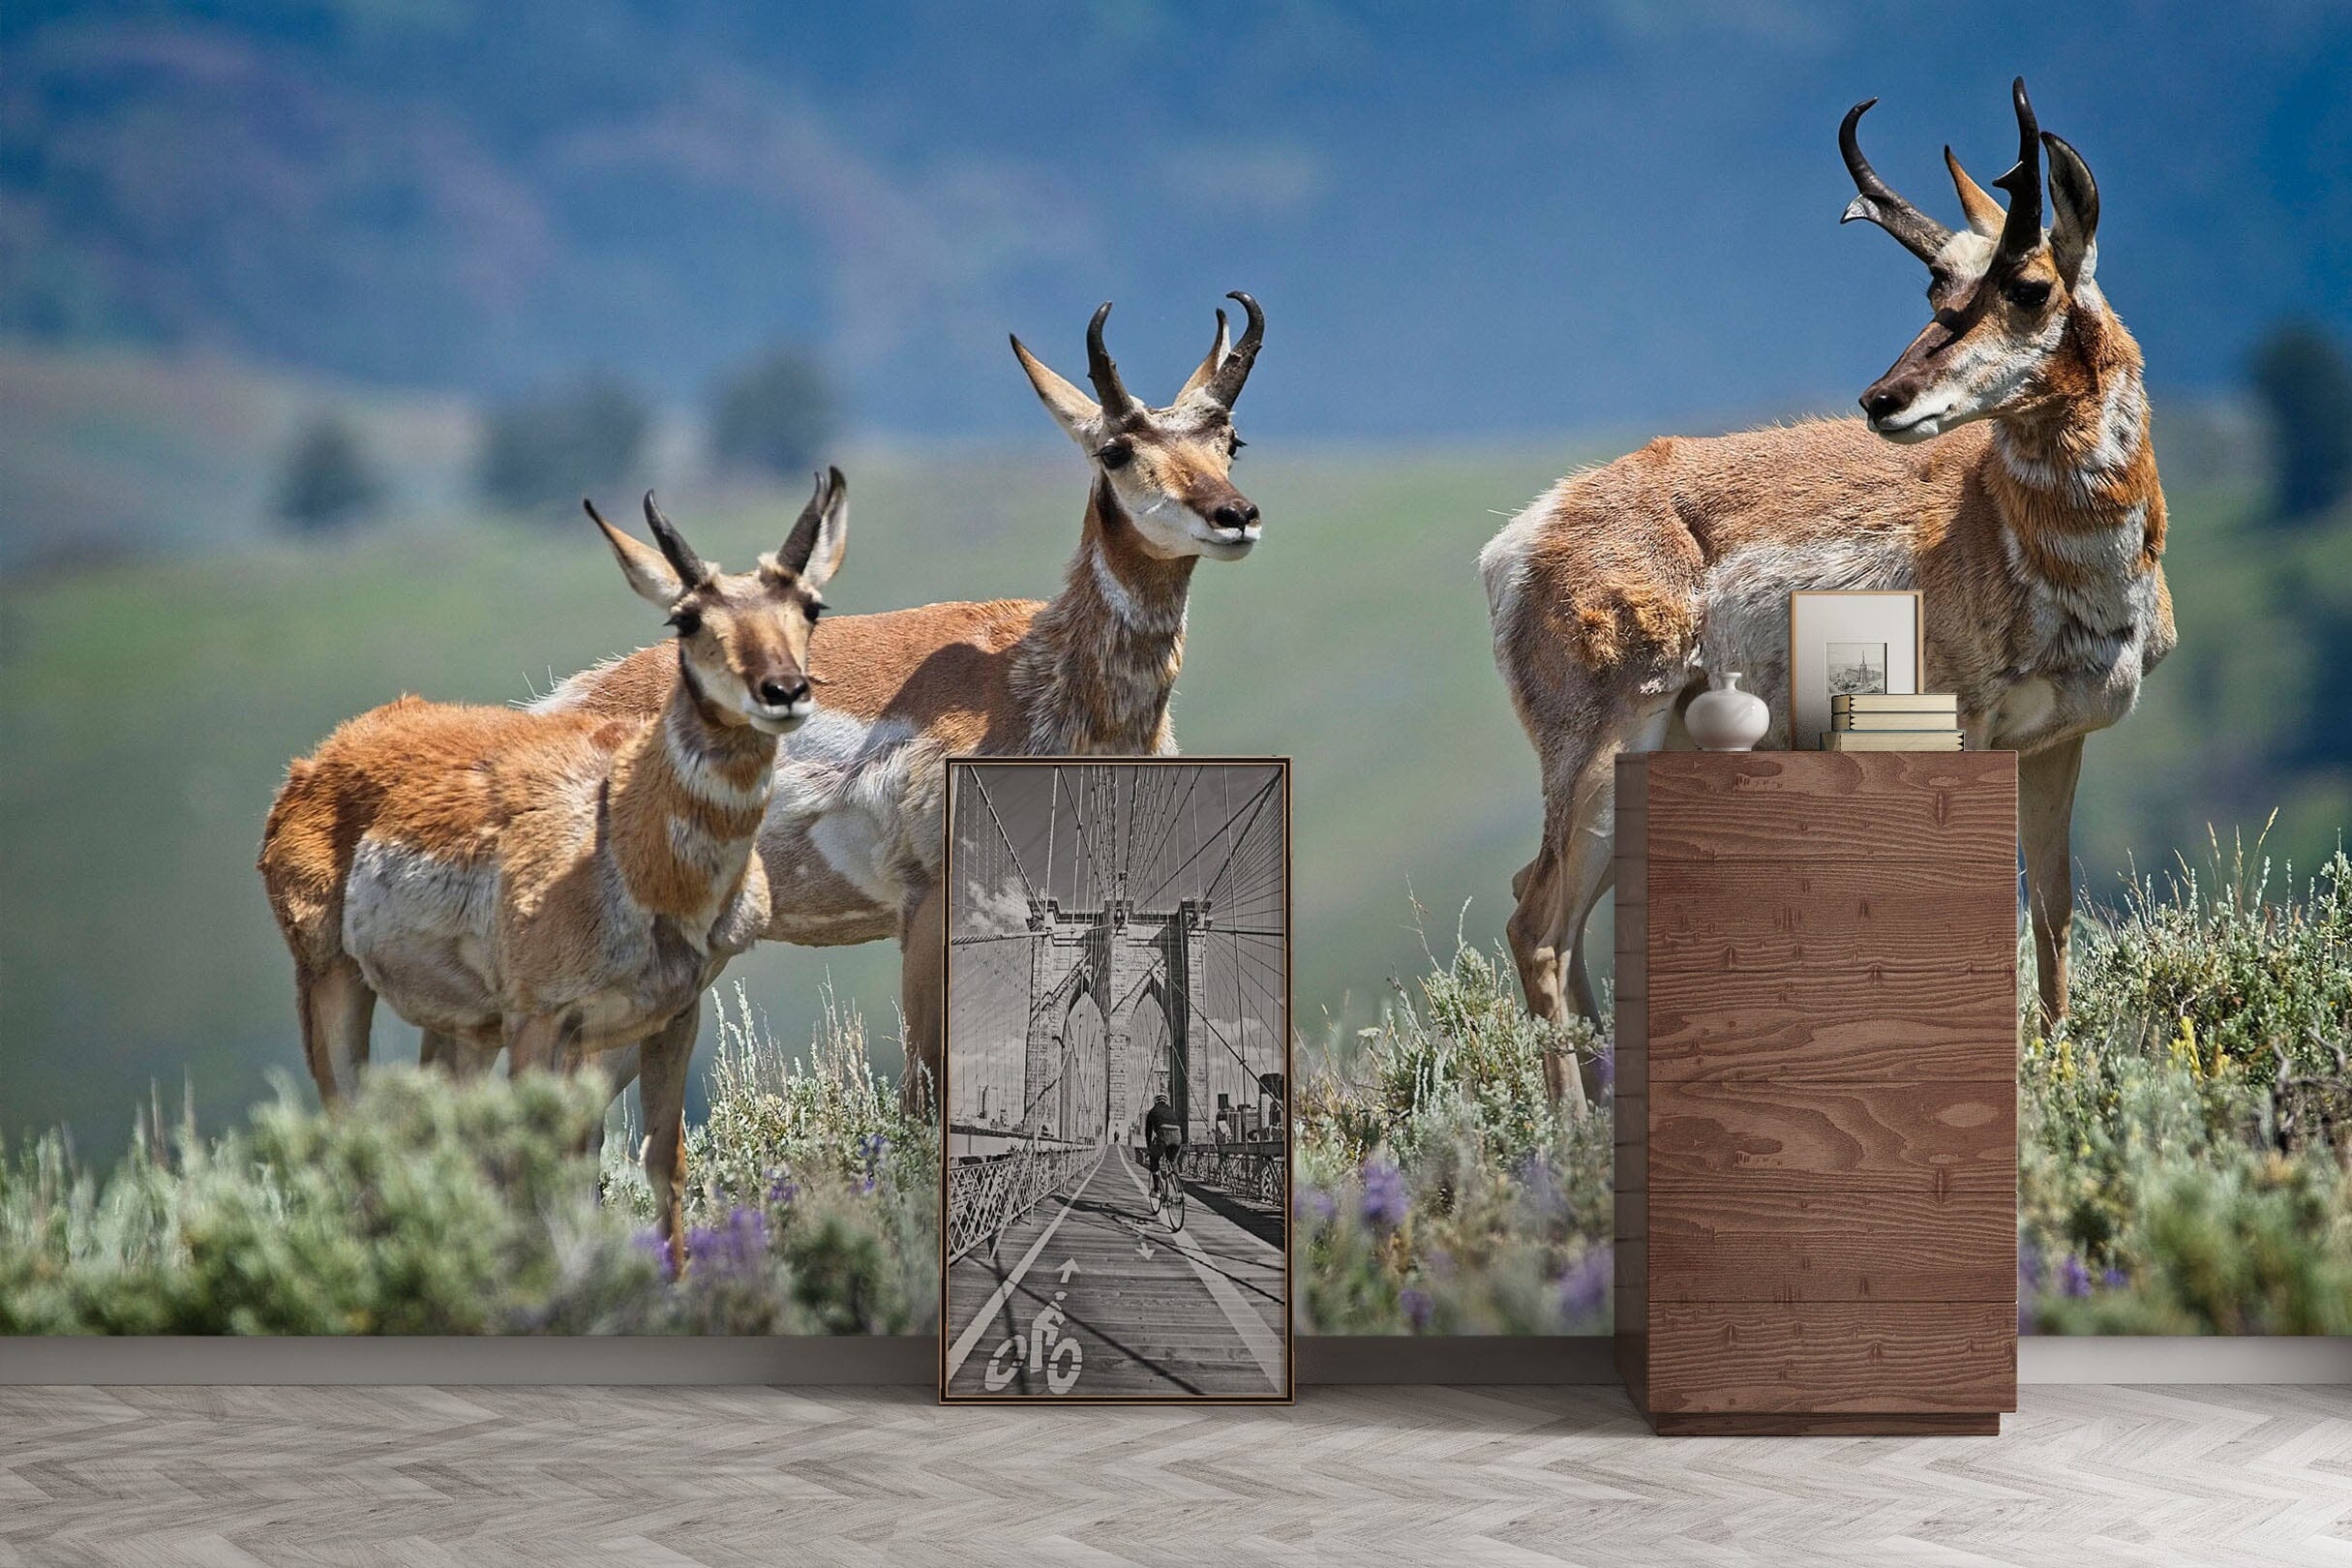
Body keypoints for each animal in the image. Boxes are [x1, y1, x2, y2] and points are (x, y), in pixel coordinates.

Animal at [258, 473, 850, 1263]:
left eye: (810, 606)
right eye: (686, 619)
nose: (783, 690)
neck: (622, 838)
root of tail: (325, 755)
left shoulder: (671, 1016)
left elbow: (662, 1162)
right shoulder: (541, 1022)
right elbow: (533, 1170)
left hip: (461, 1027)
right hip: (331, 978)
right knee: (354, 1133)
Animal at [532, 294, 1268, 1106]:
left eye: (1230, 441)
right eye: (1114, 450)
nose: (1235, 515)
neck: (1034, 671)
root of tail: (565, 699)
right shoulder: (925, 903)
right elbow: (924, 1088)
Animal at [1479, 80, 2173, 1109]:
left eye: (2030, 287)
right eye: (1935, 290)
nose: (1882, 399)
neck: (2003, 521)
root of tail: (1529, 530)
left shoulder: (2056, 742)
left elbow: (2051, 915)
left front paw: (2056, 1074)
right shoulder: (1964, 729)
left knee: (1555, 915)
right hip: (1605, 747)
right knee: (1538, 921)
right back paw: (1566, 1125)